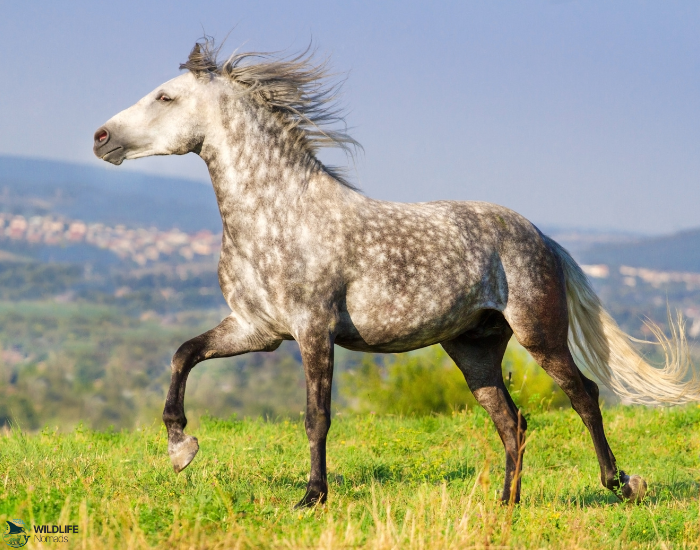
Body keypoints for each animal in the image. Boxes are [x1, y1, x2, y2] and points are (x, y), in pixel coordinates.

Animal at [93, 39, 699, 508]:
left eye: (165, 96)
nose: (101, 138)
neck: (279, 214)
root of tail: (540, 236)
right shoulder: (256, 330)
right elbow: (183, 355)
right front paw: (181, 448)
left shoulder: (313, 331)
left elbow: (316, 416)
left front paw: (311, 497)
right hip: (474, 351)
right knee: (513, 421)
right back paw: (506, 503)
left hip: (540, 334)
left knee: (585, 397)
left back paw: (619, 483)